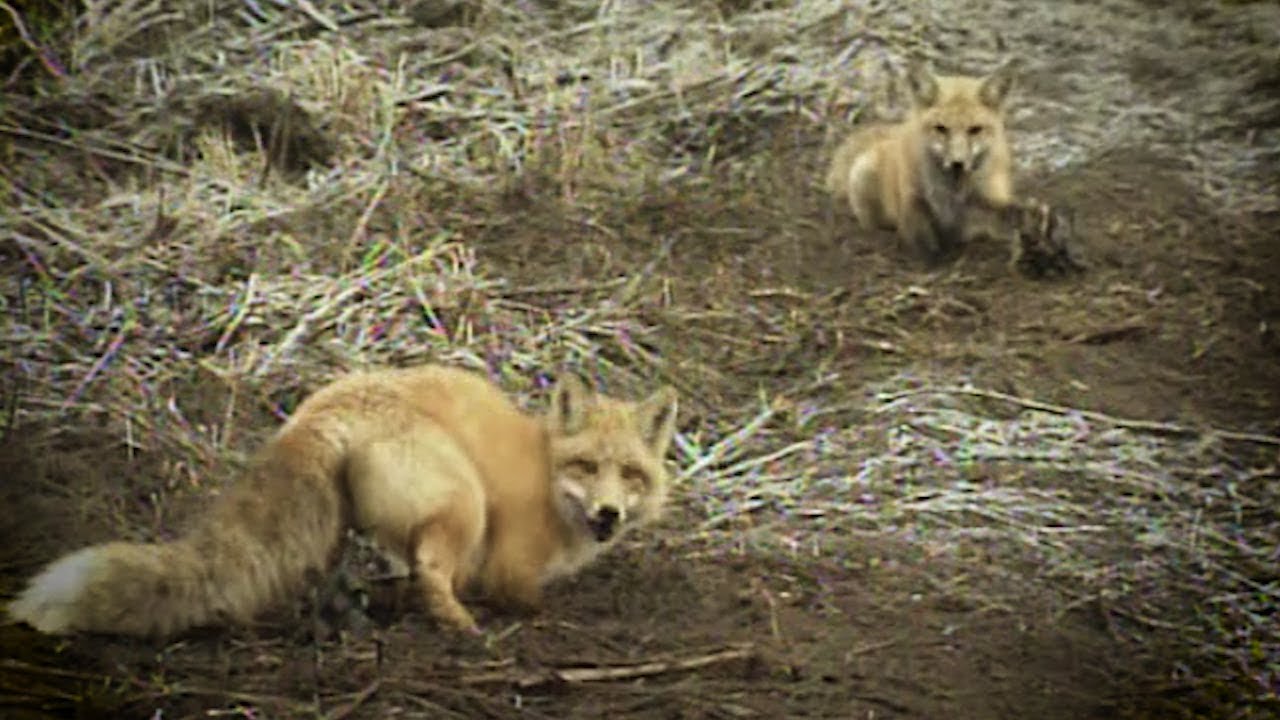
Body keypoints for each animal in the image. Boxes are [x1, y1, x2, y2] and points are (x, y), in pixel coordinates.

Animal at [7, 364, 679, 638]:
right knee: (431, 574)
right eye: (586, 467)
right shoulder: (511, 564)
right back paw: (460, 627)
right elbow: (522, 595)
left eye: (631, 475)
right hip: (464, 503)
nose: (608, 513)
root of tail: (321, 406)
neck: (545, 475)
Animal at [826, 59, 1018, 264]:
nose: (957, 163)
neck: (951, 194)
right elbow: (923, 243)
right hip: (864, 177)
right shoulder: (913, 203)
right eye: (941, 128)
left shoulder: (986, 204)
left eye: (975, 130)